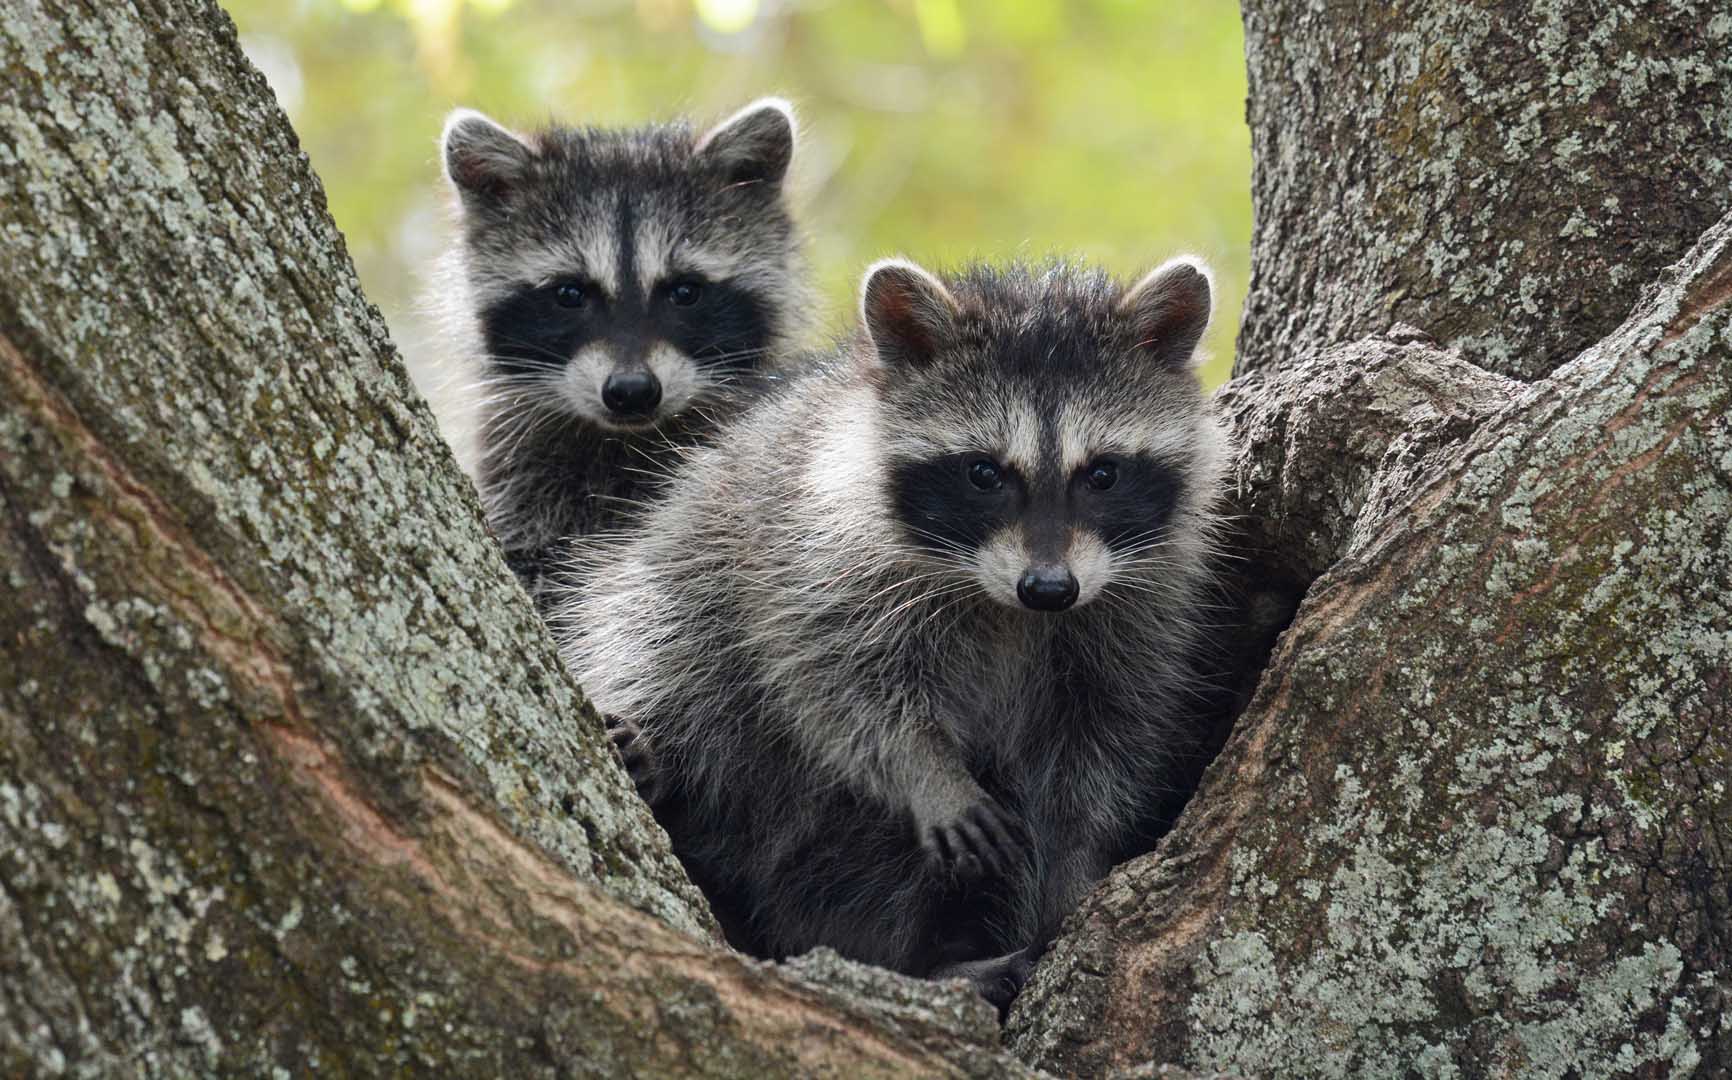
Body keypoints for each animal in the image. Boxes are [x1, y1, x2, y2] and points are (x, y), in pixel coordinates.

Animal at [560, 256, 1227, 1008]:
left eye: (1103, 474)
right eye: (984, 473)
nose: (1050, 588)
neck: (1007, 607)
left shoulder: (1139, 608)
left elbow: (1103, 736)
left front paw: (1076, 862)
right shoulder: (814, 551)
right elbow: (838, 686)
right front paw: (924, 769)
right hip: (684, 579)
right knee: (671, 651)